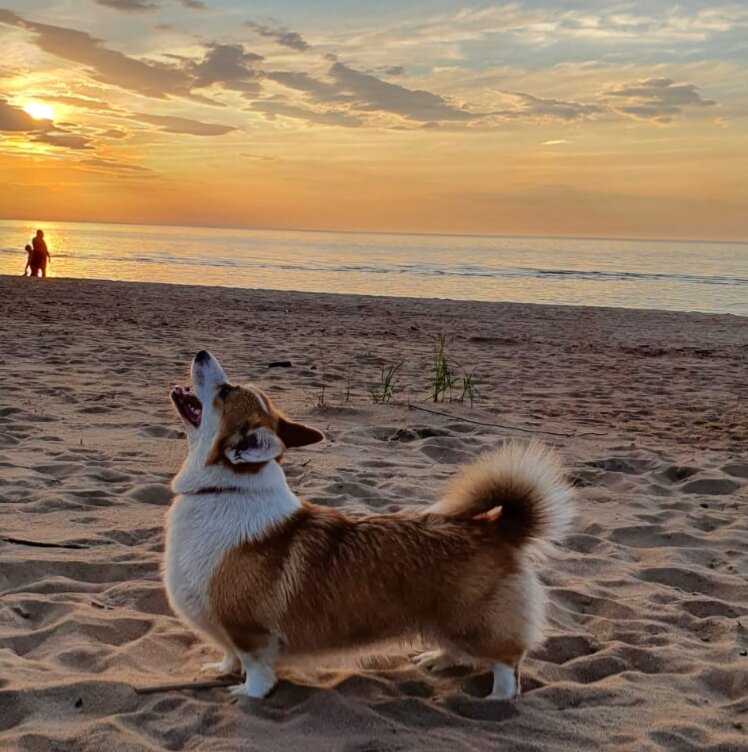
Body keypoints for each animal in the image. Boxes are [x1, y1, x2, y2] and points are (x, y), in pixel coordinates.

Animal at [165, 352, 572, 700]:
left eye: (225, 391)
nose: (201, 353)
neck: (225, 489)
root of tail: (497, 525)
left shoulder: (250, 632)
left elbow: (255, 669)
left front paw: (248, 693)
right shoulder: (227, 632)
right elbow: (230, 656)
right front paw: (221, 670)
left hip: (474, 623)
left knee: (507, 663)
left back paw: (497, 699)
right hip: (448, 623)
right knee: (460, 650)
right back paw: (436, 660)